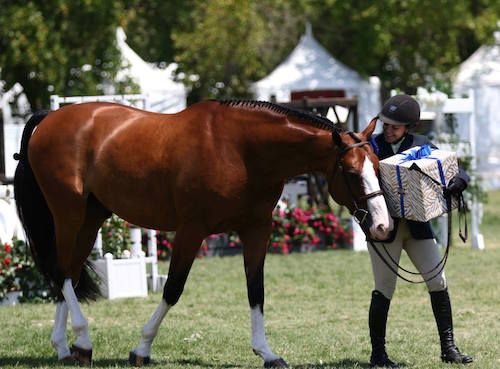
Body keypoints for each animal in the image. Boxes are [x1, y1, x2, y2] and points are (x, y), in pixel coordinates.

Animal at [13, 99, 392, 366]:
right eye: (351, 173)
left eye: (377, 166)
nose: (382, 225)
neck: (242, 150)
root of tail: (49, 118)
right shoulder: (191, 230)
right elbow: (172, 289)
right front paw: (142, 348)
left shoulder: (257, 229)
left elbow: (256, 290)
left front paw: (266, 353)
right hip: (68, 213)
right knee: (62, 271)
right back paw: (83, 340)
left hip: (91, 217)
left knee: (71, 272)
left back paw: (66, 348)